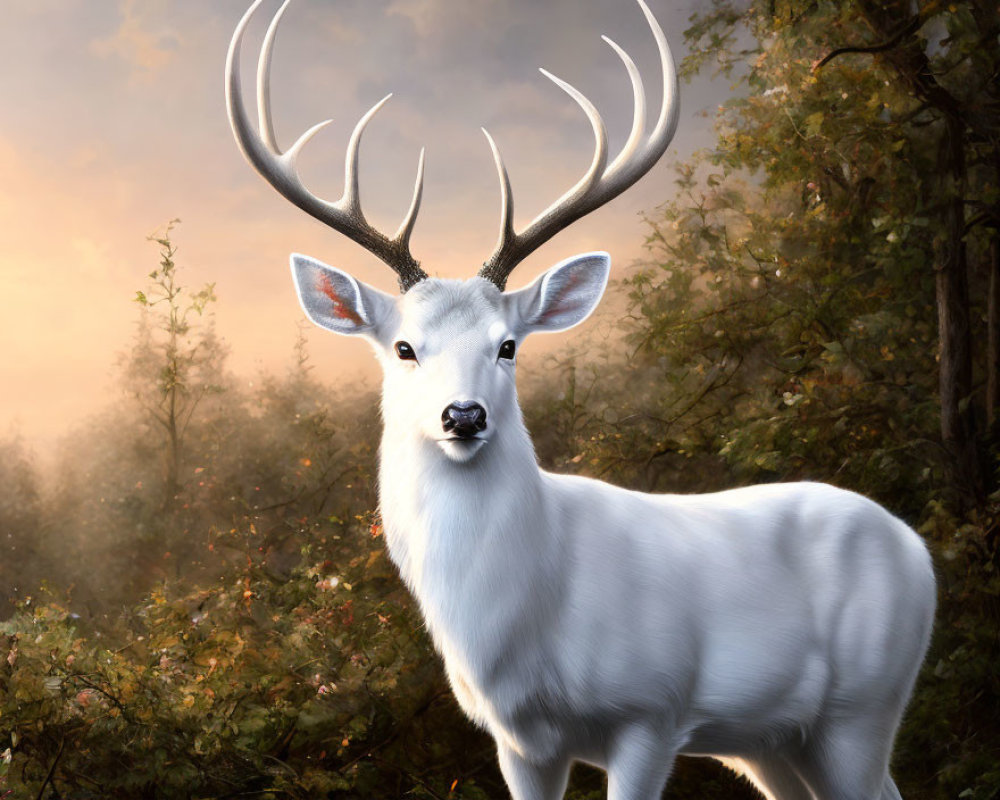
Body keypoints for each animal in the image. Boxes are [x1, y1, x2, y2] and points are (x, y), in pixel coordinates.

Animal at [227, 3, 936, 796]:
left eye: (508, 345)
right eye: (404, 348)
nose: (463, 415)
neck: (526, 620)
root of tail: (918, 547)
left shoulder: (653, 708)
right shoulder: (518, 741)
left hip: (864, 702)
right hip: (775, 741)